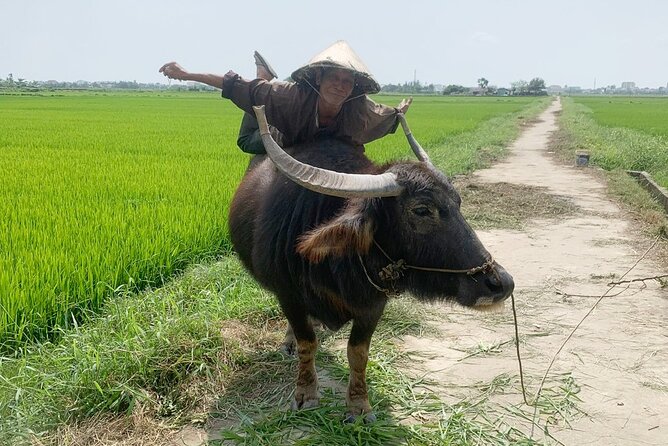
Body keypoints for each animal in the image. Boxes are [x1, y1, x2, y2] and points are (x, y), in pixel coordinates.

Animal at [227, 106, 516, 420]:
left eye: (458, 203)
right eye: (422, 210)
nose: (500, 283)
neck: (336, 264)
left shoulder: (373, 304)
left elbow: (358, 353)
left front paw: (359, 406)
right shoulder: (288, 294)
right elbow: (307, 343)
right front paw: (305, 395)